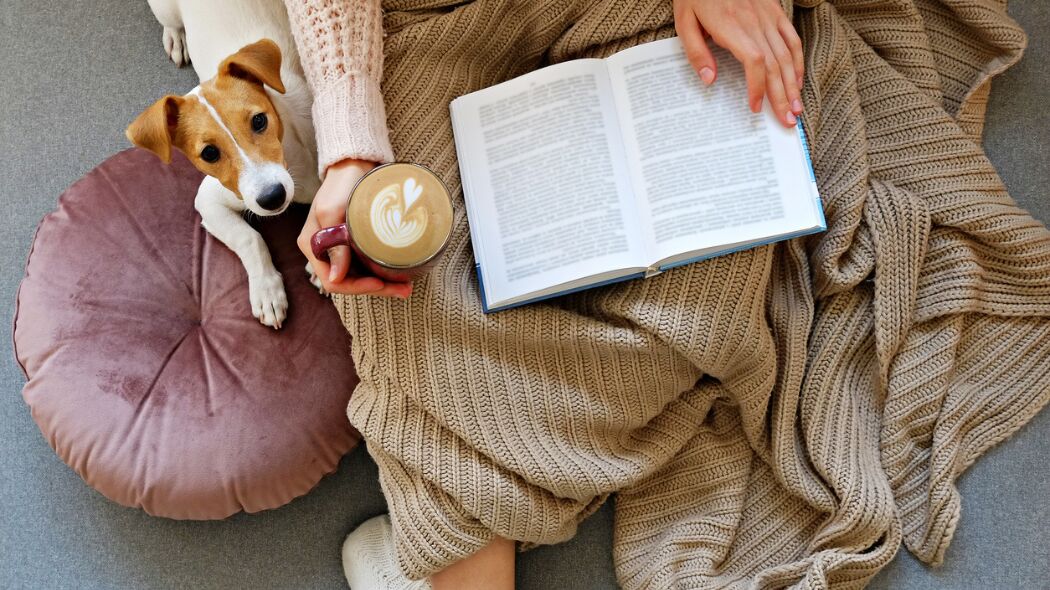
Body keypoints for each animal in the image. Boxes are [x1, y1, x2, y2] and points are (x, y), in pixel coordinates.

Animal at [125, 0, 319, 325]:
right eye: (209, 154)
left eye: (259, 120)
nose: (272, 197)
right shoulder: (210, 200)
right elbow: (249, 237)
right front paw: (266, 290)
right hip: (165, 8)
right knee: (170, 22)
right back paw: (176, 38)